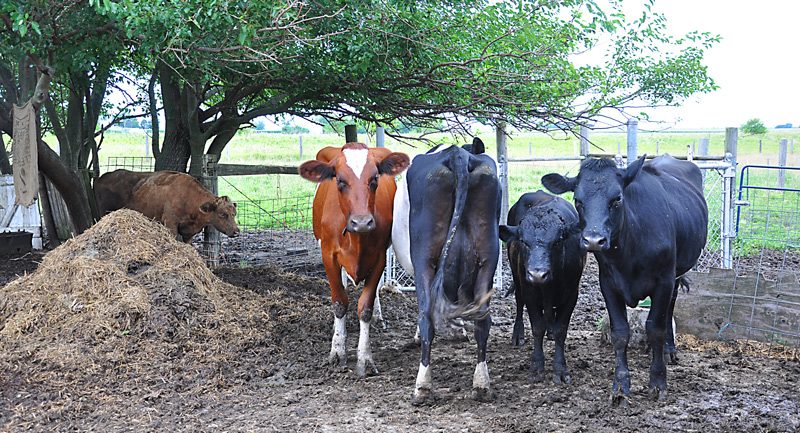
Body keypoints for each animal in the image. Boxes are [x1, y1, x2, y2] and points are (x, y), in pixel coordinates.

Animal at [94, 169, 240, 243]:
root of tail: (101, 177)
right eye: (223, 214)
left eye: (234, 214)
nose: (236, 231)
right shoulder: (170, 223)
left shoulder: (189, 233)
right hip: (104, 213)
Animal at [299, 142, 410, 376]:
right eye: (339, 180)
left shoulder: (379, 257)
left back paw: (378, 316)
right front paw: (337, 351)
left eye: (375, 178)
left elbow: (365, 307)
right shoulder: (328, 255)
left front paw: (365, 358)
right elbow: (340, 302)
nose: (362, 222)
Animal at [393, 143, 501, 405]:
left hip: (424, 257)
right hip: (488, 256)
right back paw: (481, 385)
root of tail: (457, 154)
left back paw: (422, 387)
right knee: (483, 320)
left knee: (426, 318)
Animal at [499, 191, 586, 384]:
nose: (538, 274)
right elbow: (537, 327)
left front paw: (560, 369)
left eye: (557, 241)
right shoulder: (529, 292)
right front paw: (537, 367)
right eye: (523, 241)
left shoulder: (572, 294)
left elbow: (561, 330)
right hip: (517, 277)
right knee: (519, 302)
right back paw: (518, 334)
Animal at [542, 154, 708, 406]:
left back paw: (669, 350)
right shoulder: (608, 284)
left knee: (670, 306)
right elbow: (620, 333)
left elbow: (655, 329)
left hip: (676, 273)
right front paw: (620, 387)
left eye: (617, 198)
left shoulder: (664, 280)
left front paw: (658, 383)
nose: (594, 240)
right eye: (577, 199)